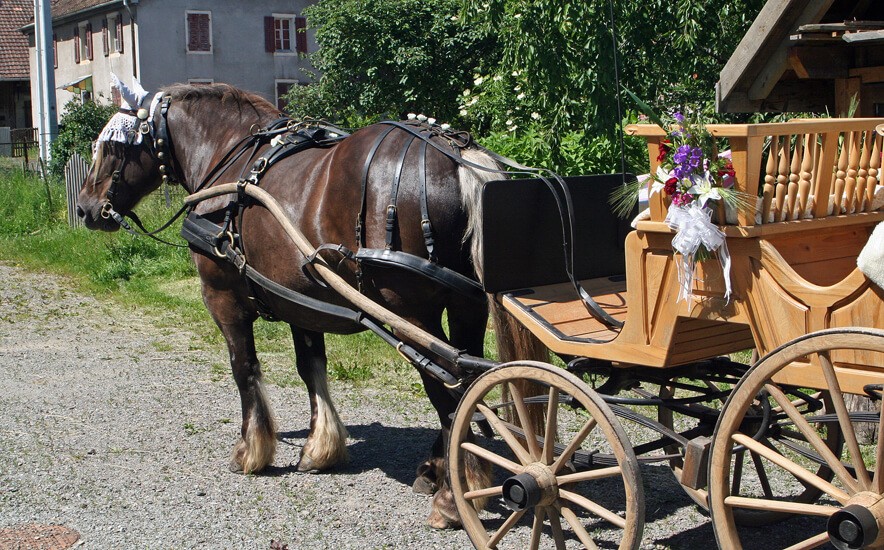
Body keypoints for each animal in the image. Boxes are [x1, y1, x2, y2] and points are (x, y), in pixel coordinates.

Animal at [76, 80, 520, 528]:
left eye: (112, 147)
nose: (85, 208)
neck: (230, 160)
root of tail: (455, 153)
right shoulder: (301, 301)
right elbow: (311, 368)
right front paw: (320, 447)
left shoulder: (222, 298)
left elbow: (244, 368)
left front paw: (250, 451)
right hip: (466, 308)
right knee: (466, 382)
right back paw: (440, 469)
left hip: (409, 313)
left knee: (449, 389)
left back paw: (453, 495)